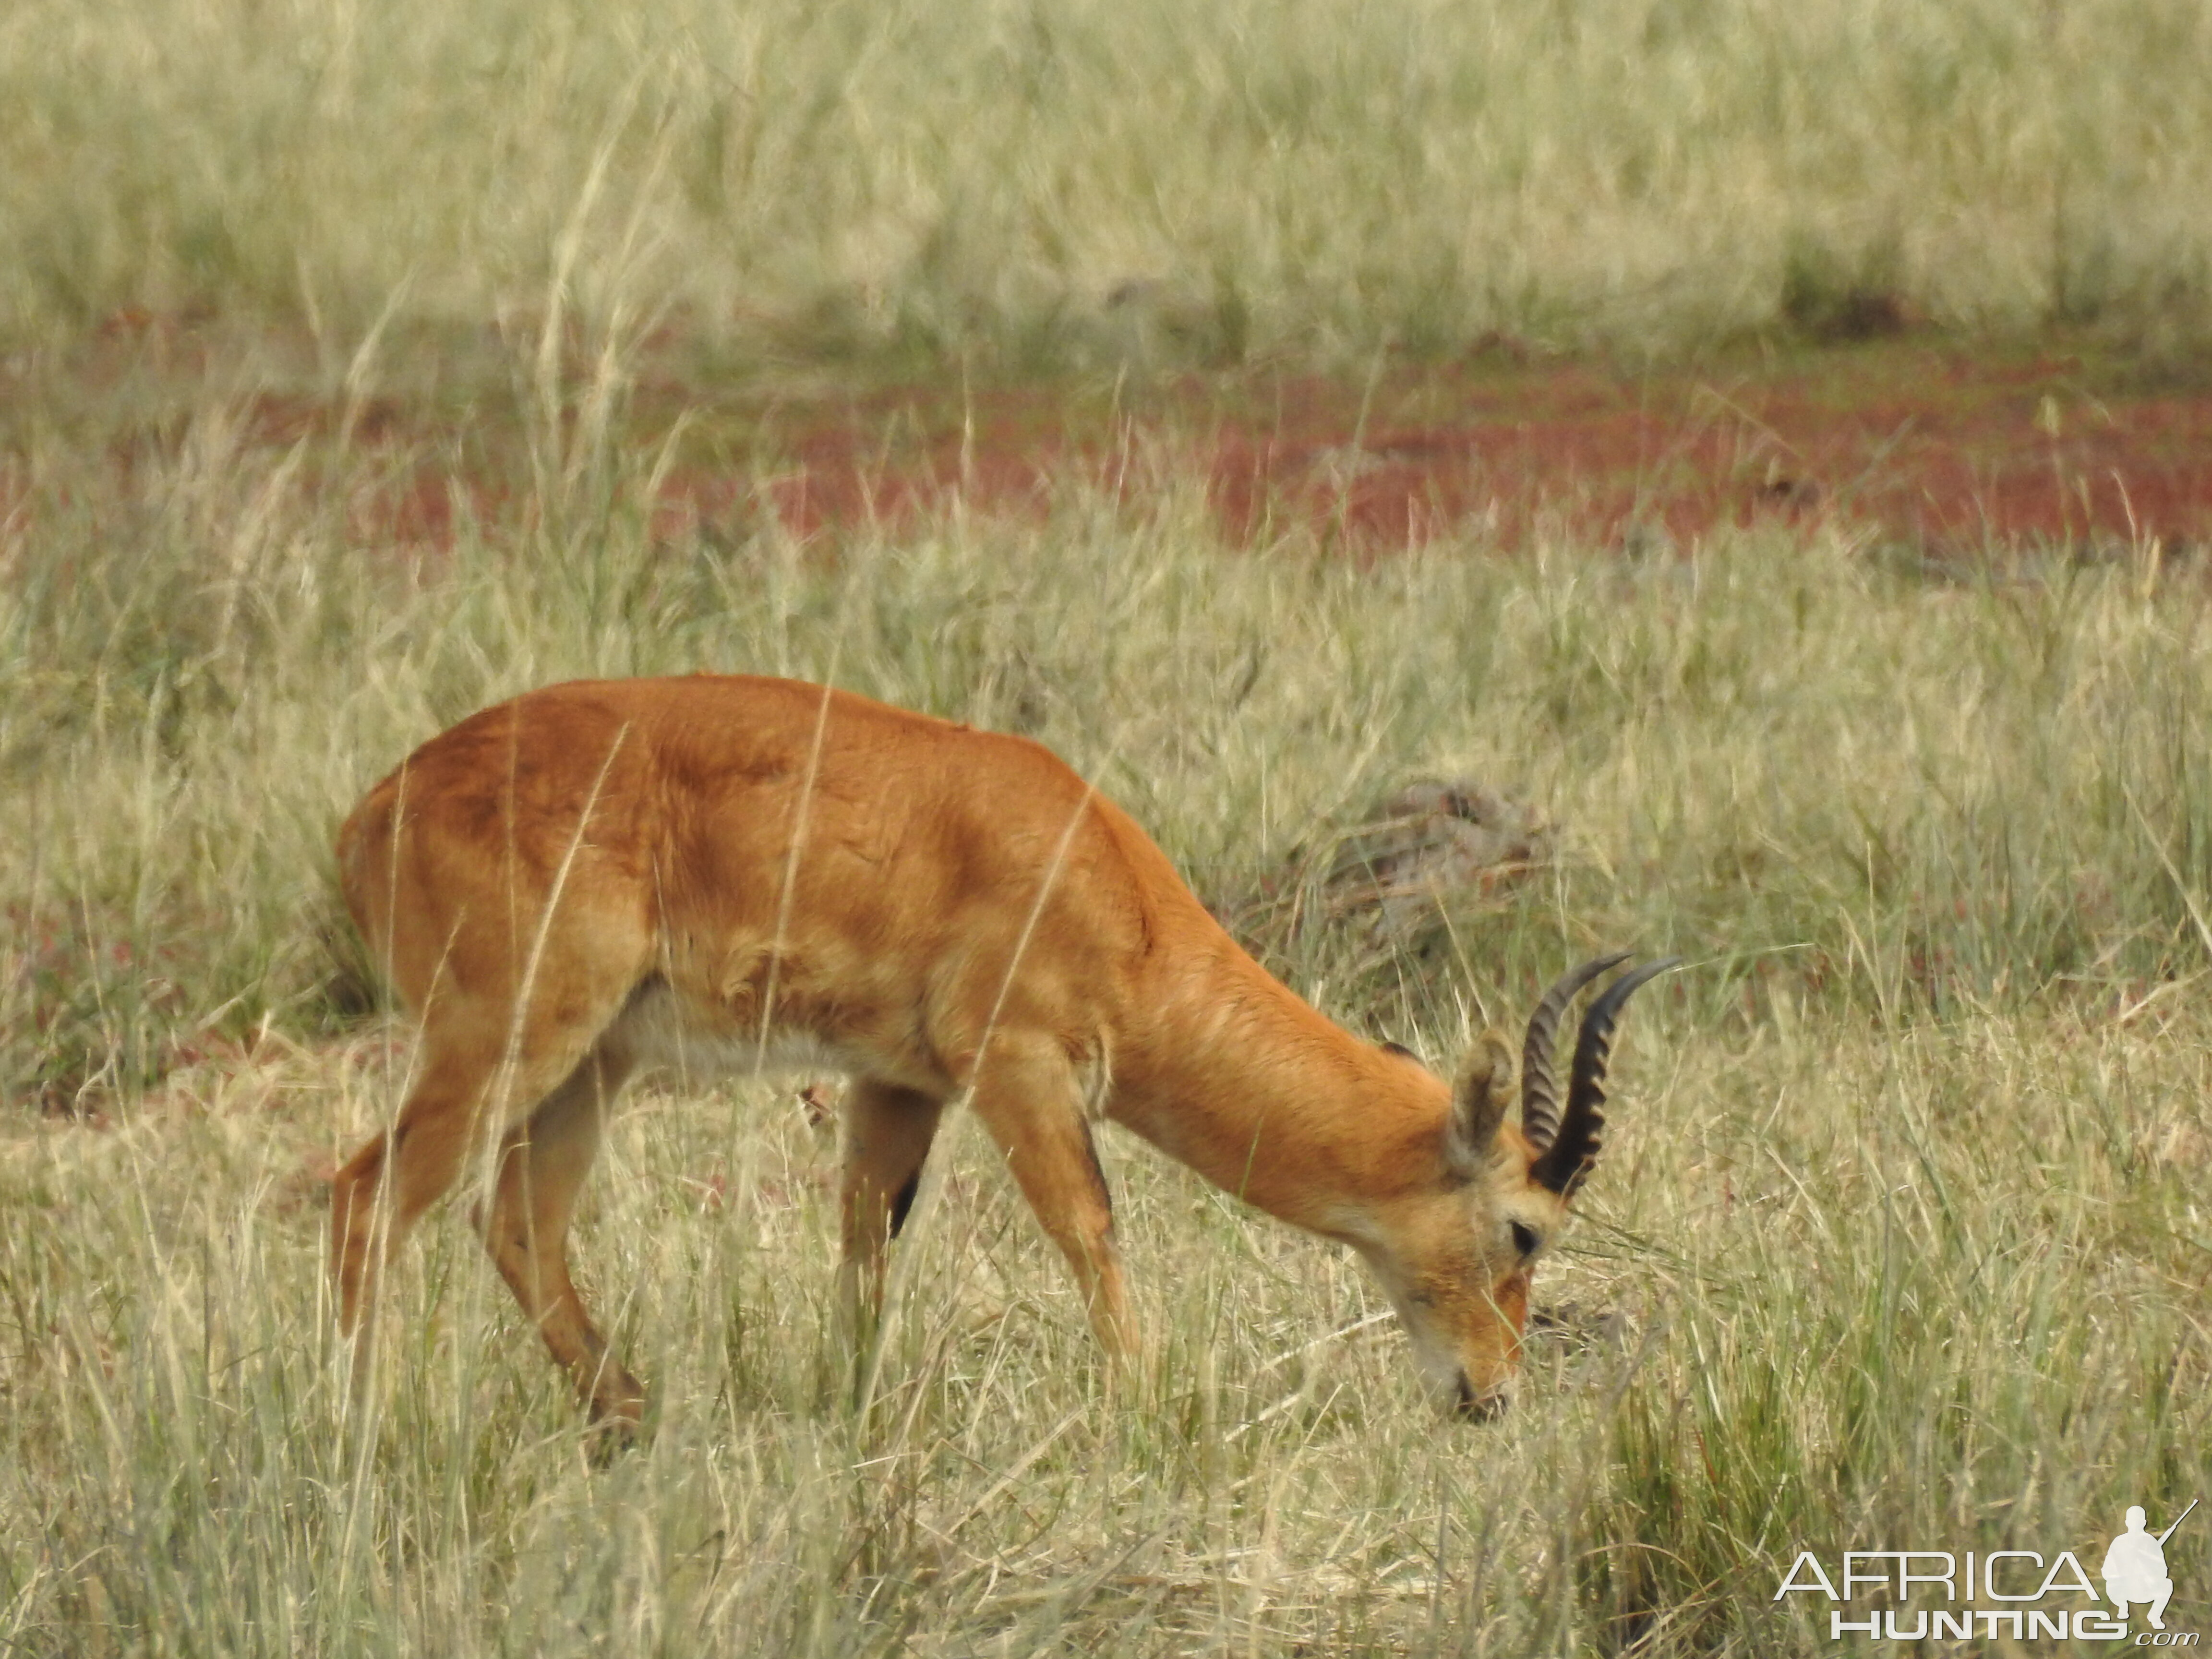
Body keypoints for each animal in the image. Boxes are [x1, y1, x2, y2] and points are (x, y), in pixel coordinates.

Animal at [332, 677, 1672, 1433]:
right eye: (1525, 1230)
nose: (1492, 1396)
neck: (1094, 873)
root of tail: (377, 806)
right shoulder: (1019, 1068)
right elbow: (1091, 1230)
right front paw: (1155, 1410)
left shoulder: (897, 1083)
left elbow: (866, 1240)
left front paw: (854, 1415)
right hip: (506, 1040)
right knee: (365, 1197)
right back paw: (367, 1434)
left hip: (593, 1064)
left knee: (515, 1219)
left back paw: (631, 1419)